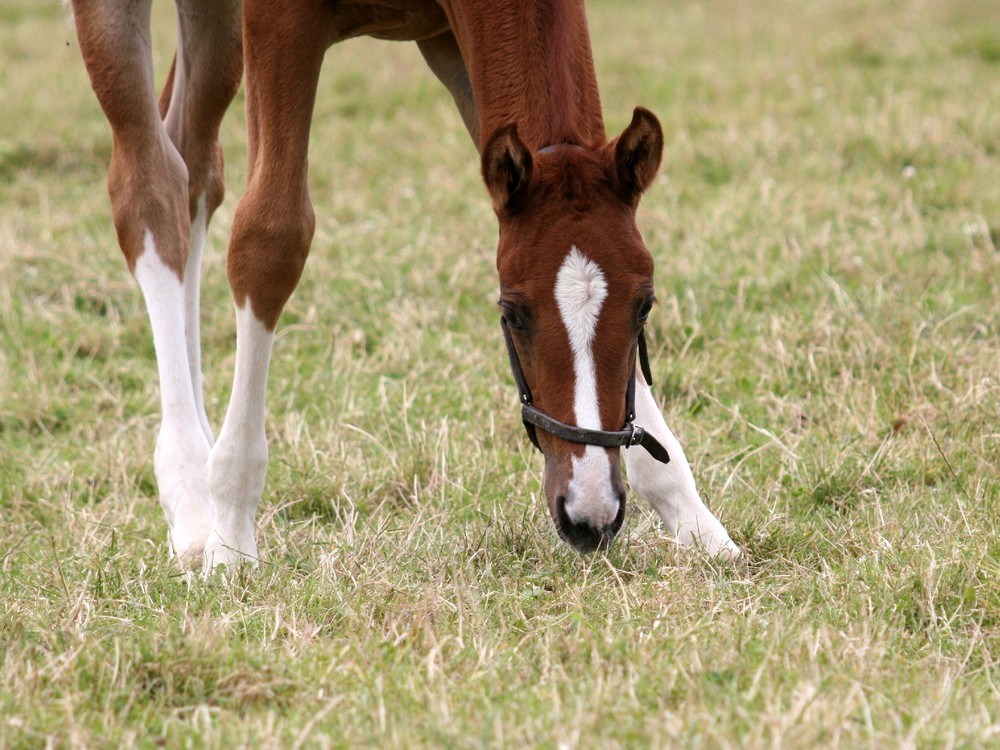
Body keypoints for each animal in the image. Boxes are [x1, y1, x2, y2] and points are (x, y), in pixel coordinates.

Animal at [70, 0, 740, 568]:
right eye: (512, 312)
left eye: (644, 306)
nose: (590, 515)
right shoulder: (280, 20)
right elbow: (270, 236)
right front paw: (231, 539)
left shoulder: (449, 40)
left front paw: (696, 523)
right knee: (149, 184)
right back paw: (191, 496)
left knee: (193, 164)